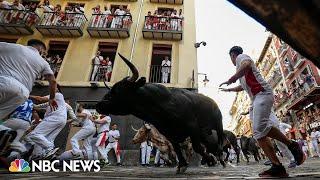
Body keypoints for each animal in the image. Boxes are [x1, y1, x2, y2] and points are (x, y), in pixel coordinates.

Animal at [96, 53, 224, 173]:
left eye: (118, 90)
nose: (99, 104)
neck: (162, 105)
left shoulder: (192, 128)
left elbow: (197, 148)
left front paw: (210, 160)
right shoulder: (170, 134)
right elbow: (177, 150)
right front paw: (182, 165)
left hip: (218, 124)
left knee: (220, 141)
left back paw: (220, 159)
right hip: (204, 133)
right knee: (211, 145)